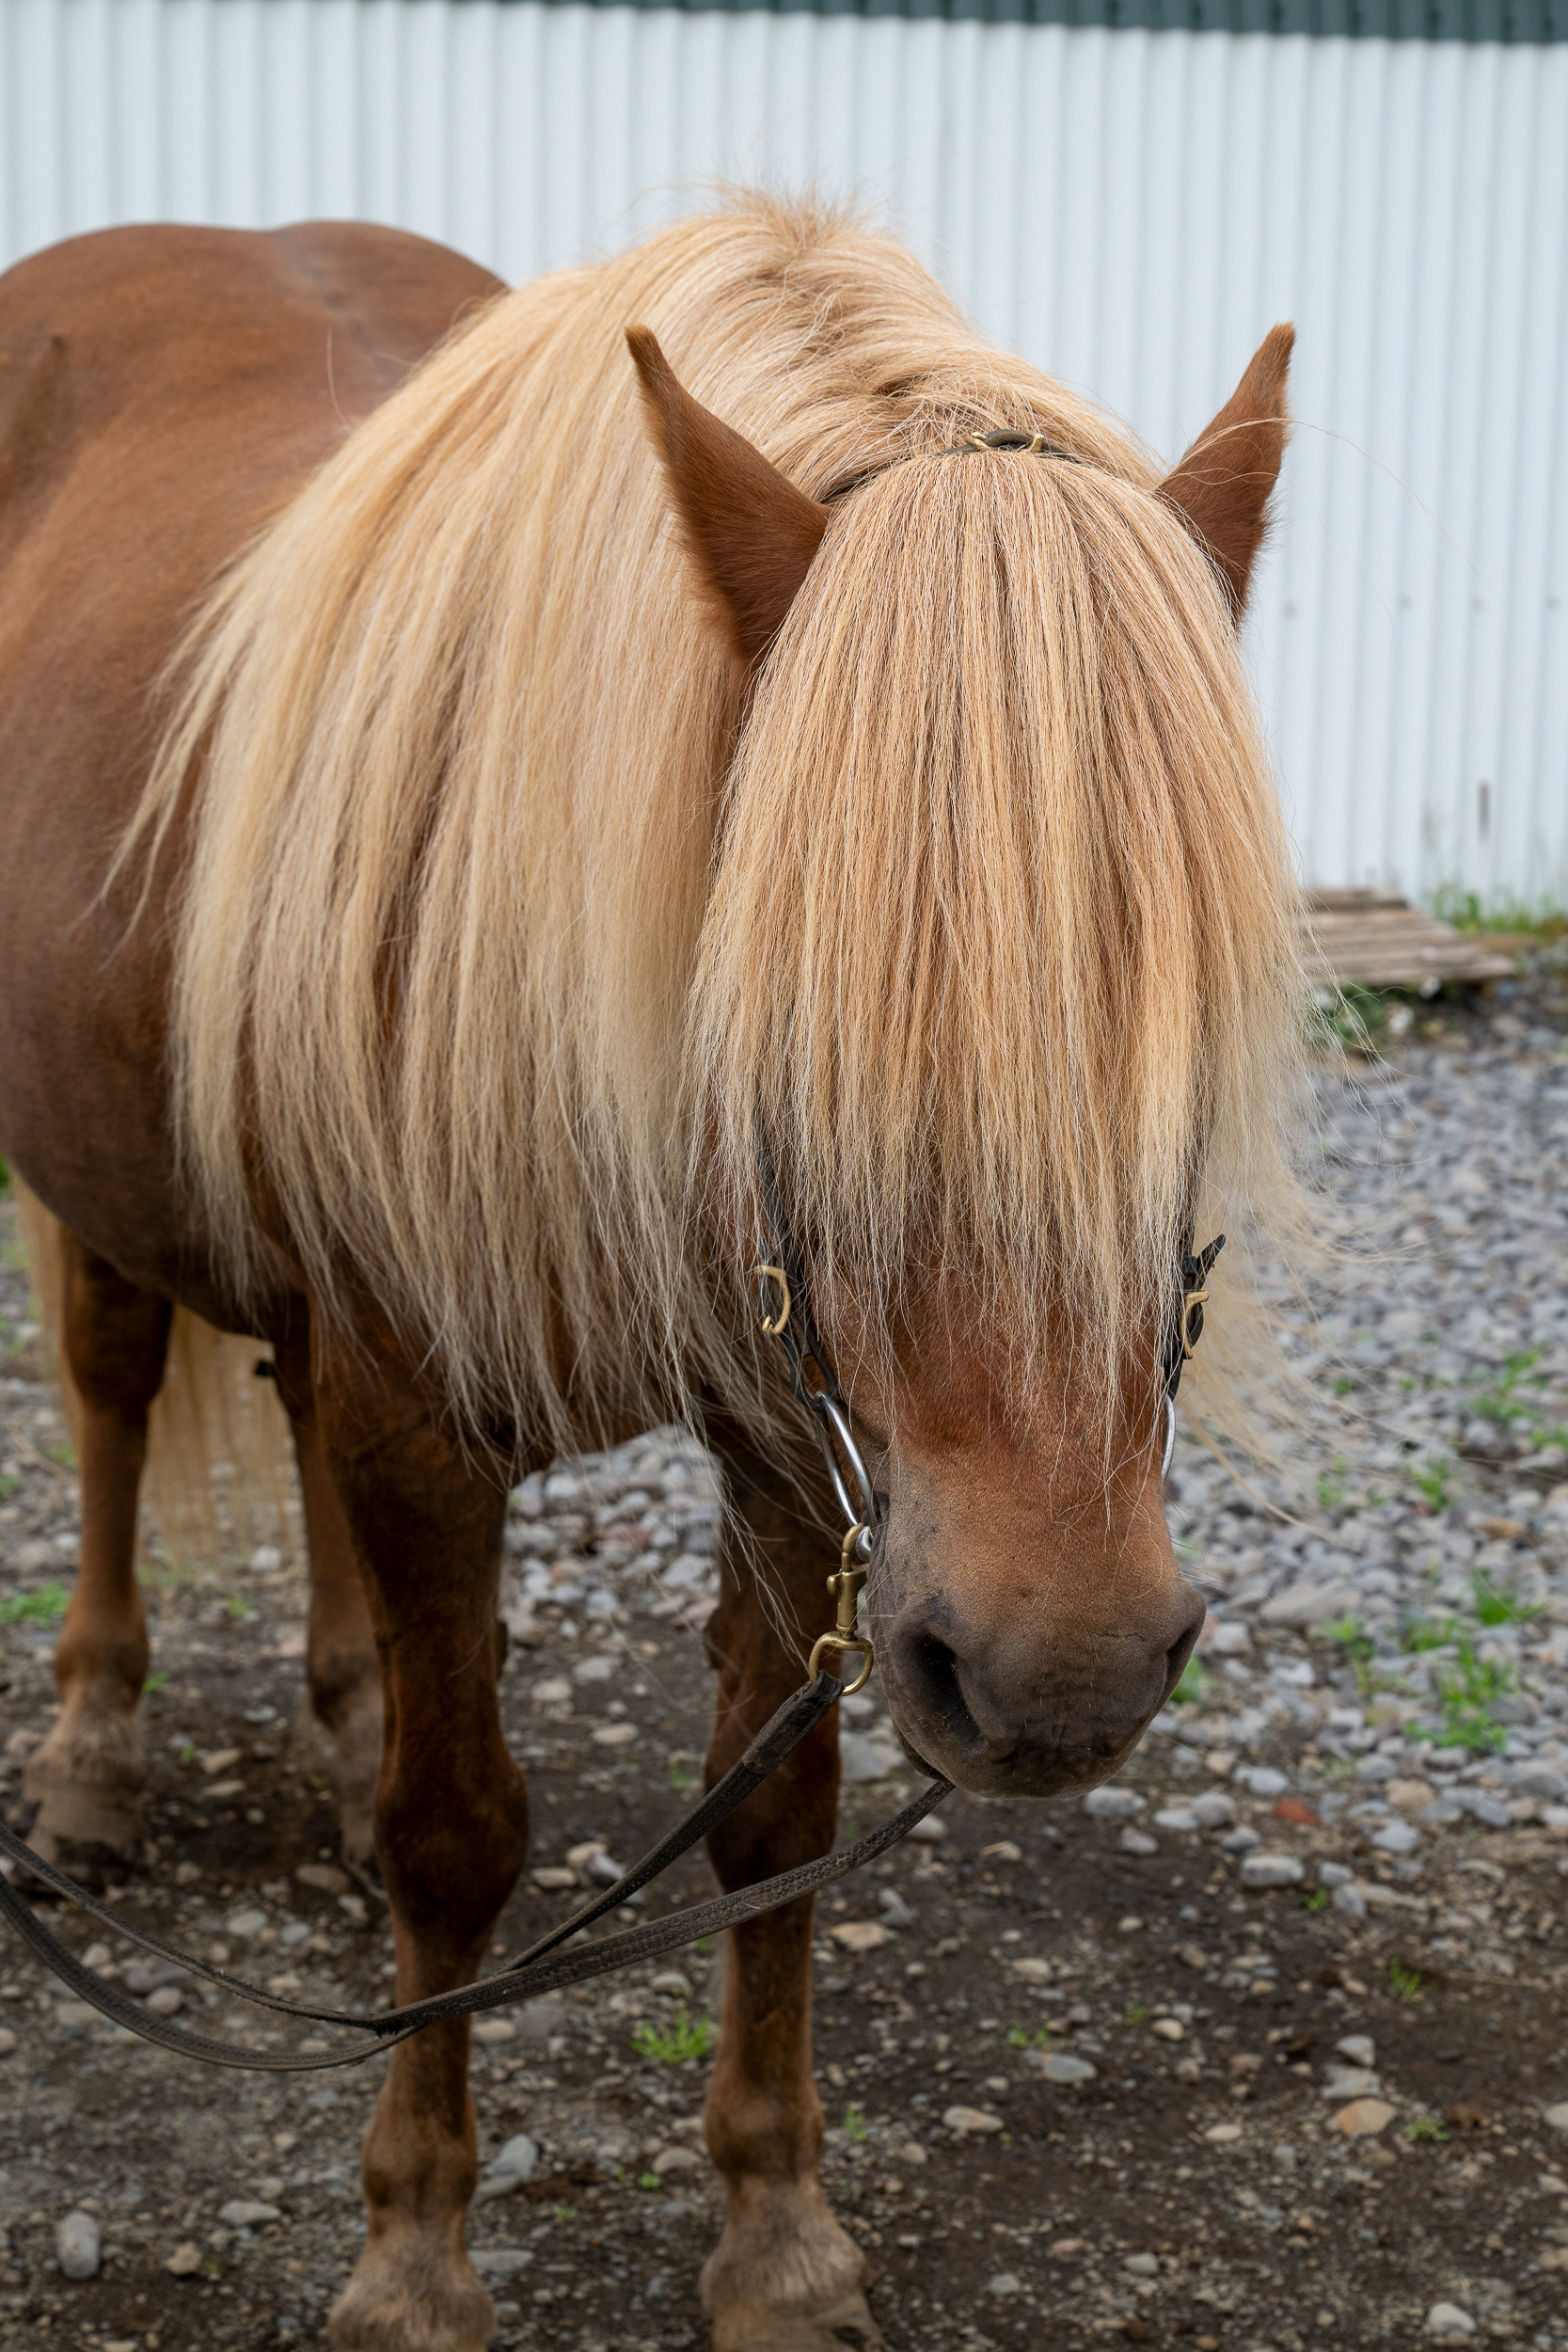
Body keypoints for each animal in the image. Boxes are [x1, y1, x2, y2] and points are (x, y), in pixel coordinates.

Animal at [0, 192, 1302, 2351]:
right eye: (790, 1023)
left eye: (1185, 1029)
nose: (1062, 1669)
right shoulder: (428, 1423)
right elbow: (457, 1834)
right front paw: (415, 2251)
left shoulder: (798, 1443)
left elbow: (772, 1821)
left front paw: (773, 2231)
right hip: (104, 1185)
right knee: (112, 1391)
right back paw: (94, 1761)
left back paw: (336, 1712)